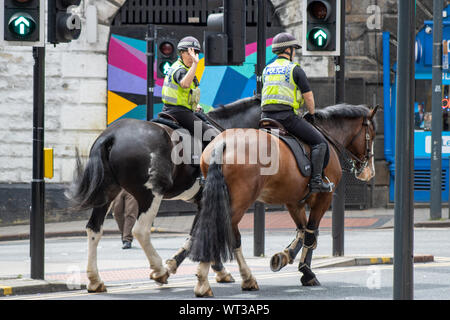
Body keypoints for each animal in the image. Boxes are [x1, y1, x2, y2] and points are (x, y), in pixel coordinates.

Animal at [66, 95, 260, 292]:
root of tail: (111, 135)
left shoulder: (205, 202)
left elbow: (202, 234)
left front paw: (215, 270)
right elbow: (212, 236)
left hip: (107, 193)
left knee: (94, 229)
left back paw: (95, 280)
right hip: (150, 194)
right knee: (140, 231)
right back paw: (158, 270)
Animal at [188, 104, 378, 296]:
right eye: (371, 134)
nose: (369, 171)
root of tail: (223, 143)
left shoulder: (294, 202)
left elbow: (303, 231)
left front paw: (285, 257)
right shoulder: (323, 199)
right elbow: (310, 233)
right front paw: (307, 272)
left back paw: (243, 278)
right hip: (238, 203)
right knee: (217, 231)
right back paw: (205, 282)